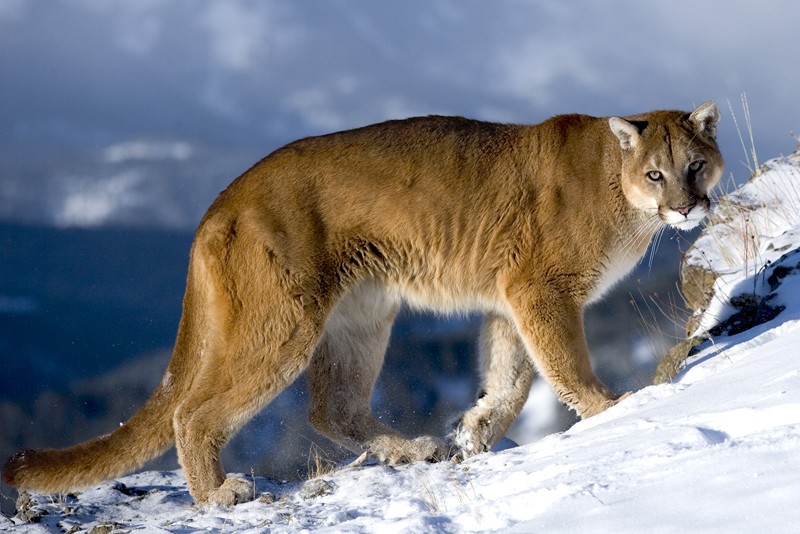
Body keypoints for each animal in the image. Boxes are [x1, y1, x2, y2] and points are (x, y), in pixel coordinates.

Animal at [3, 100, 720, 506]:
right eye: (656, 173)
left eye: (696, 166)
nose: (689, 206)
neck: (620, 194)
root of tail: (219, 203)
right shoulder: (539, 289)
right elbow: (564, 365)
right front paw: (614, 406)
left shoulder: (510, 295)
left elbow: (511, 376)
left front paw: (475, 430)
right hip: (284, 321)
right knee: (194, 411)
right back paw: (219, 494)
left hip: (363, 315)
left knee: (333, 406)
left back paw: (413, 450)